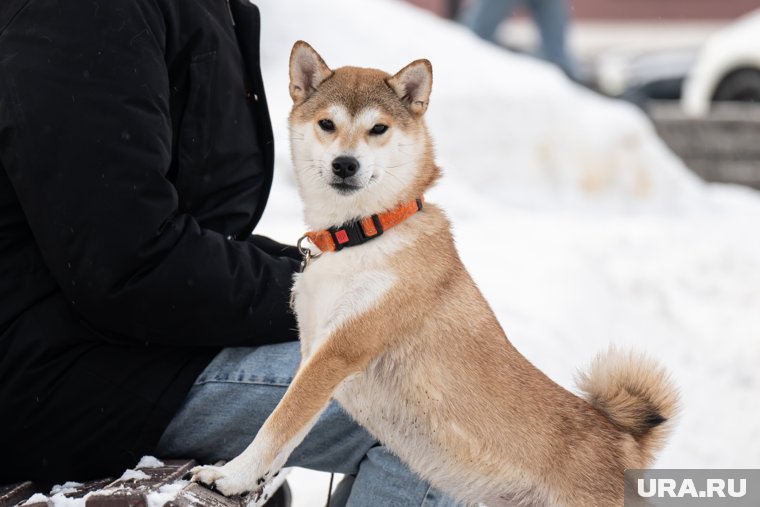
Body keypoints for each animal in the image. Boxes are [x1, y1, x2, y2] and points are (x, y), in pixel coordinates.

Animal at [190, 40, 676, 507]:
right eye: (327, 124)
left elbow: (277, 425)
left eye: (378, 129)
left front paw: (231, 476)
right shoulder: (315, 354)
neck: (363, 233)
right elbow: (288, 431)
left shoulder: (339, 352)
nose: (345, 164)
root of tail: (624, 444)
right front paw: (251, 477)